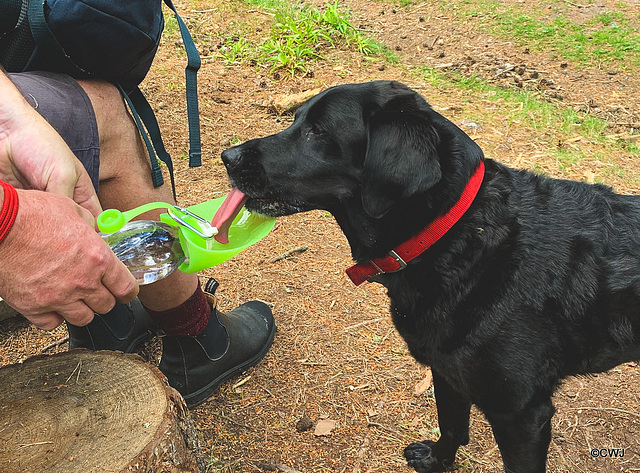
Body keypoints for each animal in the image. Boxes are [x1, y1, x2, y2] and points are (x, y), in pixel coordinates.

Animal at [221, 79, 640, 470]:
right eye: (295, 120)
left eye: (318, 131)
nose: (228, 155)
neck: (456, 234)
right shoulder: (447, 370)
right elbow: (452, 424)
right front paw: (438, 461)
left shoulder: (520, 414)